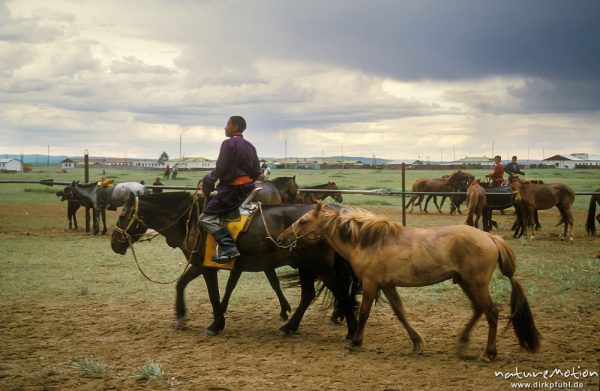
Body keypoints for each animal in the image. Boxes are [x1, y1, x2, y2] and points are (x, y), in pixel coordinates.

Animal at [110, 194, 358, 340]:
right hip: (306, 266)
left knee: (339, 291)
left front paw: (215, 324)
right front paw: (181, 315)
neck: (191, 221)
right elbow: (182, 284)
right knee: (309, 295)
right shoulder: (200, 265)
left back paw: (352, 330)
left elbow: (213, 294)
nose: (114, 243)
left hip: (318, 266)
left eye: (122, 216)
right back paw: (290, 326)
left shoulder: (207, 267)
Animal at [278, 204, 540, 362]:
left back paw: (488, 353)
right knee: (479, 310)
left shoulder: (372, 284)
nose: (281, 238)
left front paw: (355, 342)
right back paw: (462, 343)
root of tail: (490, 237)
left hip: (476, 284)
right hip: (466, 283)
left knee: (492, 312)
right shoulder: (387, 285)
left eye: (302, 221)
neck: (367, 241)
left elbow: (364, 313)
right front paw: (417, 343)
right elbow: (400, 313)